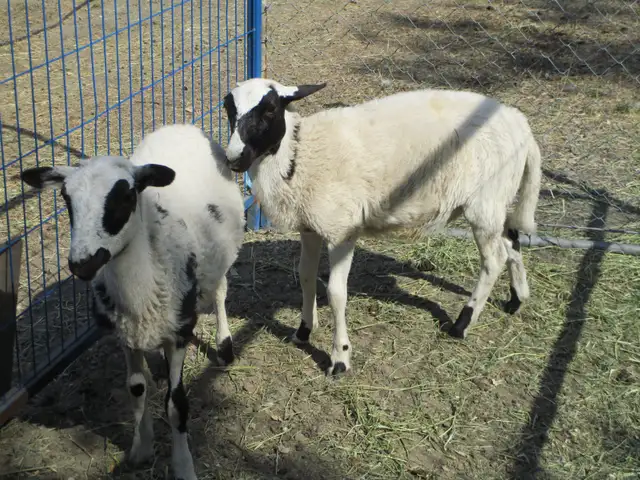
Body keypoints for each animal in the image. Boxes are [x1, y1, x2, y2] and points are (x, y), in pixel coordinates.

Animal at [21, 123, 245, 480]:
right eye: (66, 199)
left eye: (127, 196)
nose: (83, 263)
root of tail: (179, 126)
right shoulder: (126, 333)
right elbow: (136, 388)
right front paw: (141, 448)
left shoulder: (178, 332)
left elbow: (176, 403)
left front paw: (183, 466)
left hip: (222, 254)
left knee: (221, 291)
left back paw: (224, 346)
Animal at [222, 77, 542, 377]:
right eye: (229, 109)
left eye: (270, 109)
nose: (234, 159)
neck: (298, 158)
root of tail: (522, 125)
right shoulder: (310, 227)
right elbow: (305, 277)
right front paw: (303, 332)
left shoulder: (342, 231)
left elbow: (336, 293)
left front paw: (340, 358)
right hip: (497, 199)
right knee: (511, 239)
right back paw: (517, 299)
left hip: (485, 201)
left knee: (494, 259)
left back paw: (462, 324)